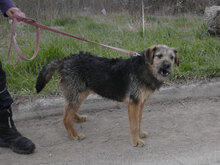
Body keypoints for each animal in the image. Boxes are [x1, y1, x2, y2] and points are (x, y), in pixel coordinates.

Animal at [35, 44, 179, 147]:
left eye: (172, 58)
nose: (167, 65)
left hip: (80, 93)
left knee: (67, 109)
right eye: (159, 56)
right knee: (65, 117)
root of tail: (64, 60)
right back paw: (74, 135)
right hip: (77, 94)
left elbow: (138, 121)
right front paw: (135, 141)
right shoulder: (133, 103)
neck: (145, 68)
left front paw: (140, 134)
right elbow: (133, 125)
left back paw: (78, 118)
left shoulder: (141, 103)